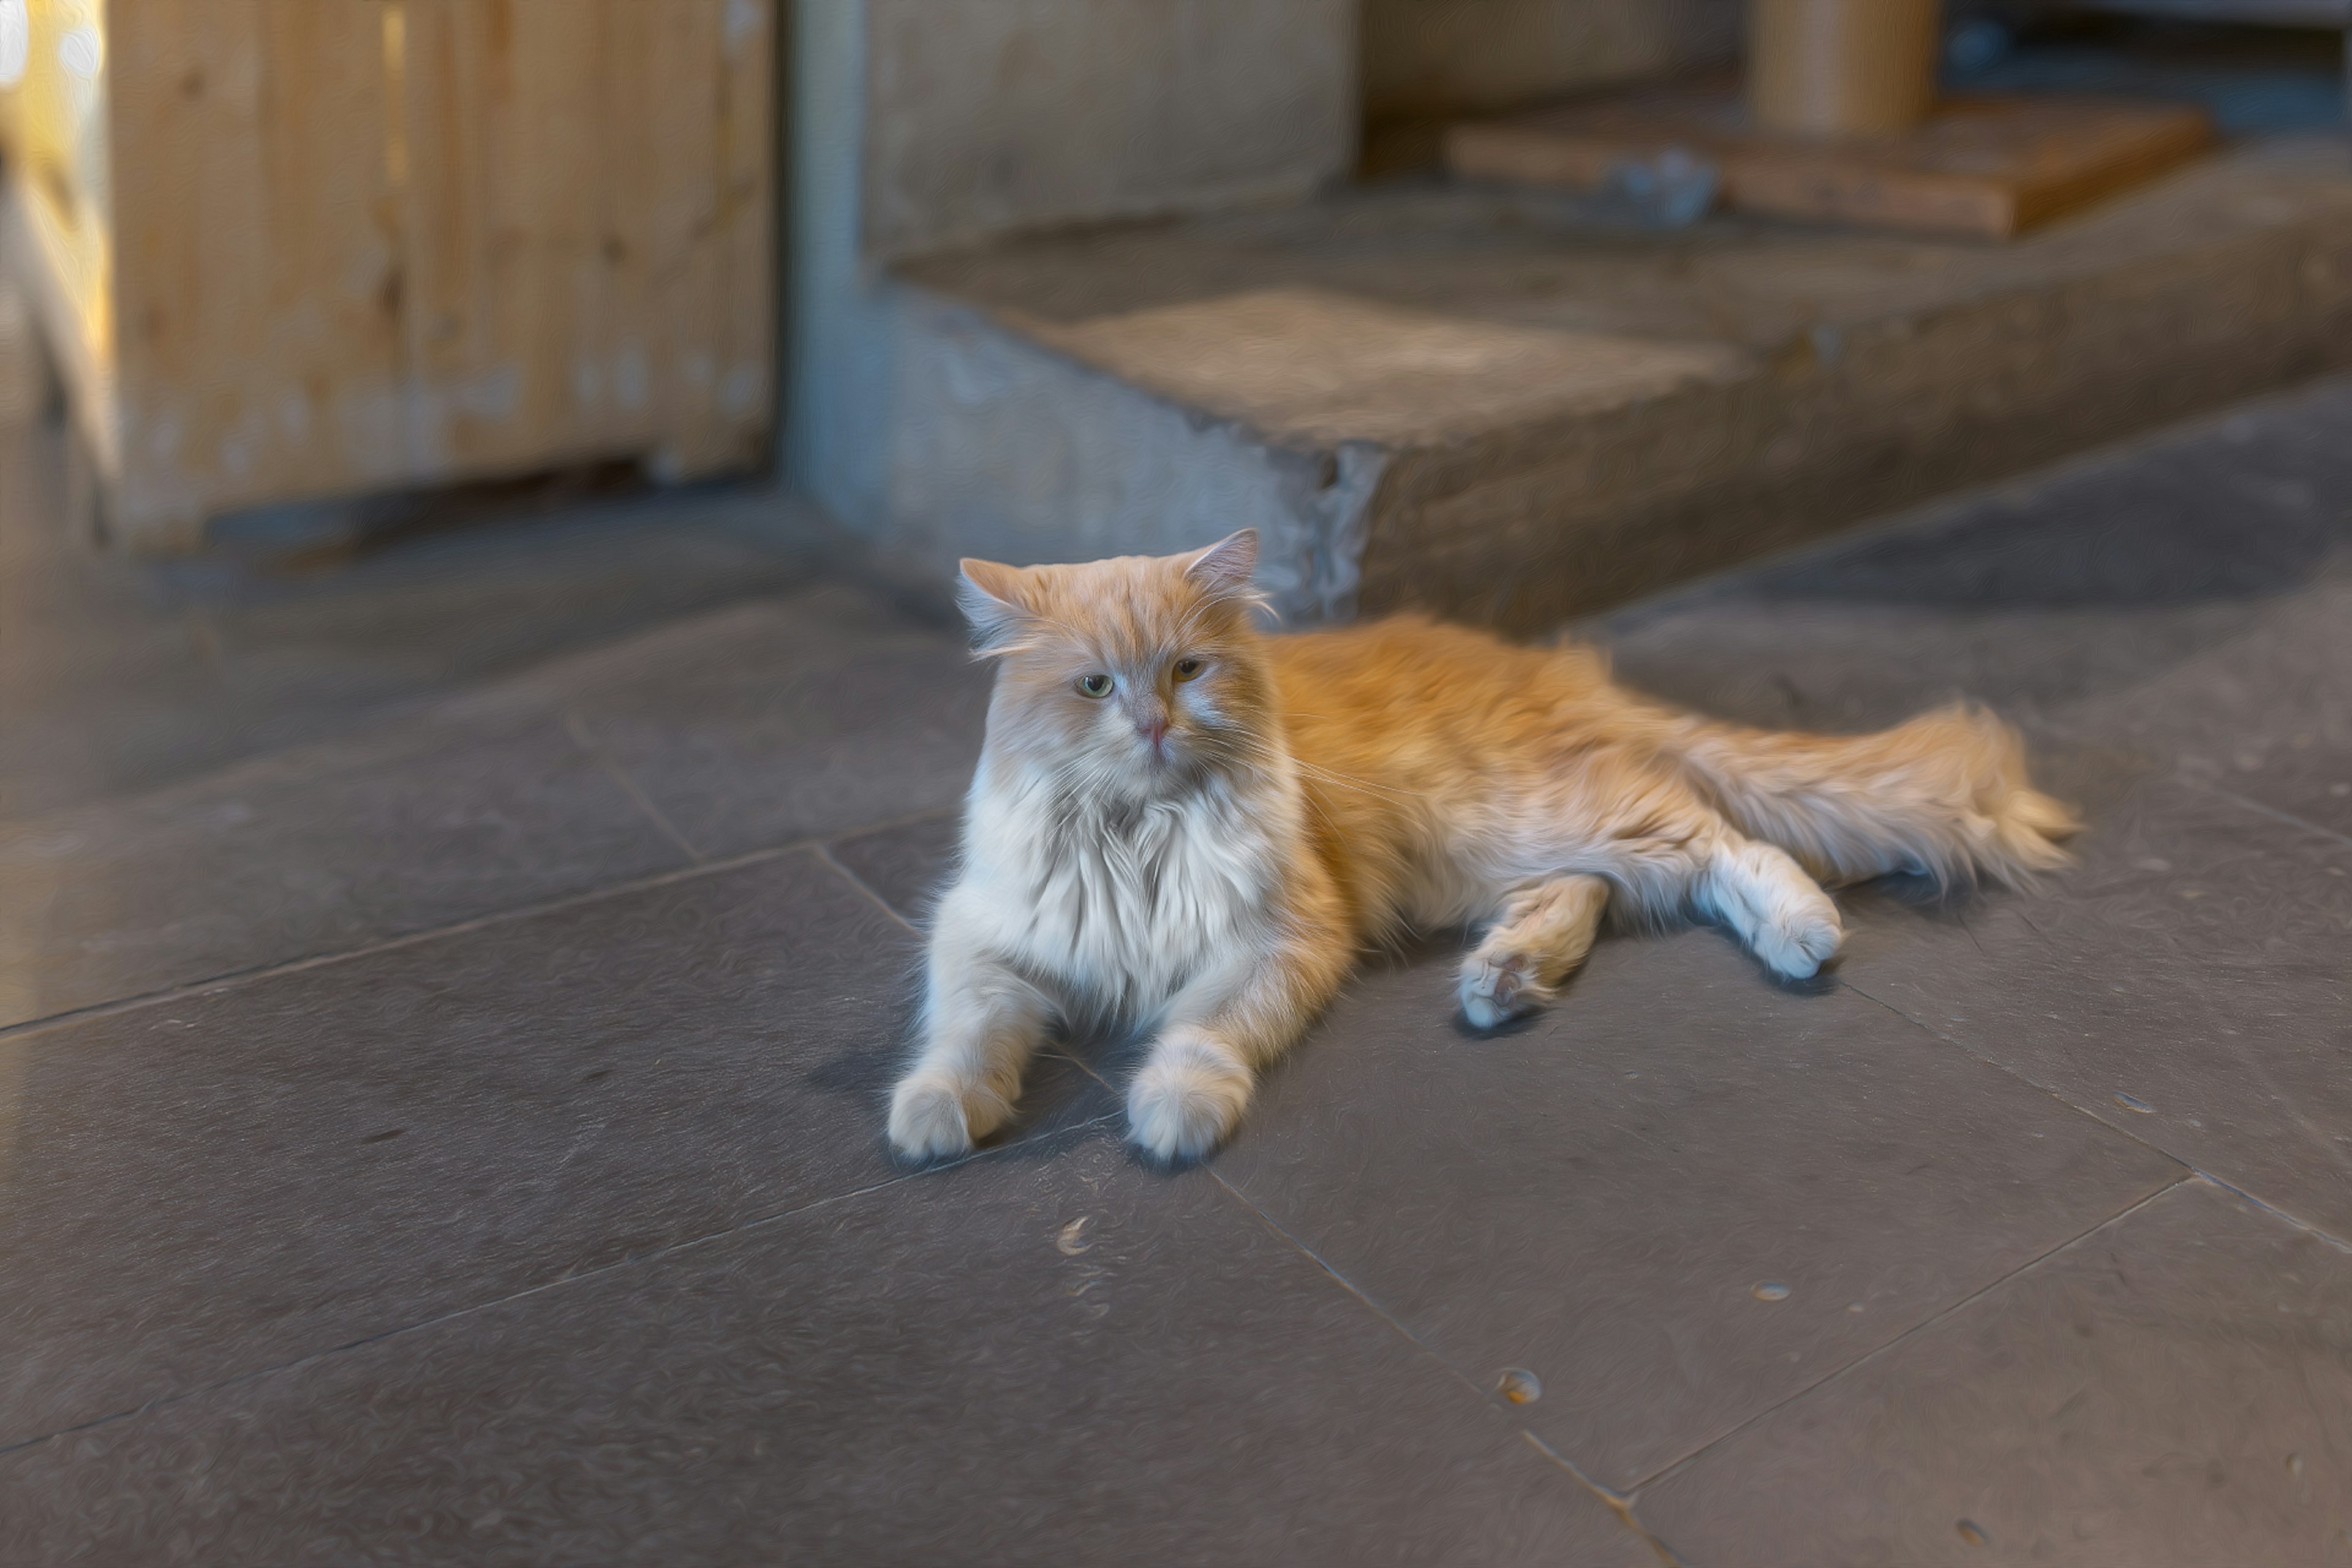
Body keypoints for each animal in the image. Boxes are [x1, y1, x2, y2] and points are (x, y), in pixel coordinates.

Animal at [884, 531, 2079, 1166]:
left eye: (1187, 670)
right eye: (1095, 686)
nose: (1153, 725)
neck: (1142, 837)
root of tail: (1548, 668)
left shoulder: (1279, 939)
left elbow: (1200, 1035)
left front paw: (1174, 1114)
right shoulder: (984, 938)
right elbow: (963, 1038)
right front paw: (935, 1115)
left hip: (1533, 812)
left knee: (1717, 838)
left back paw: (1801, 932)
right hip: (1492, 853)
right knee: (1593, 889)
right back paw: (1505, 979)